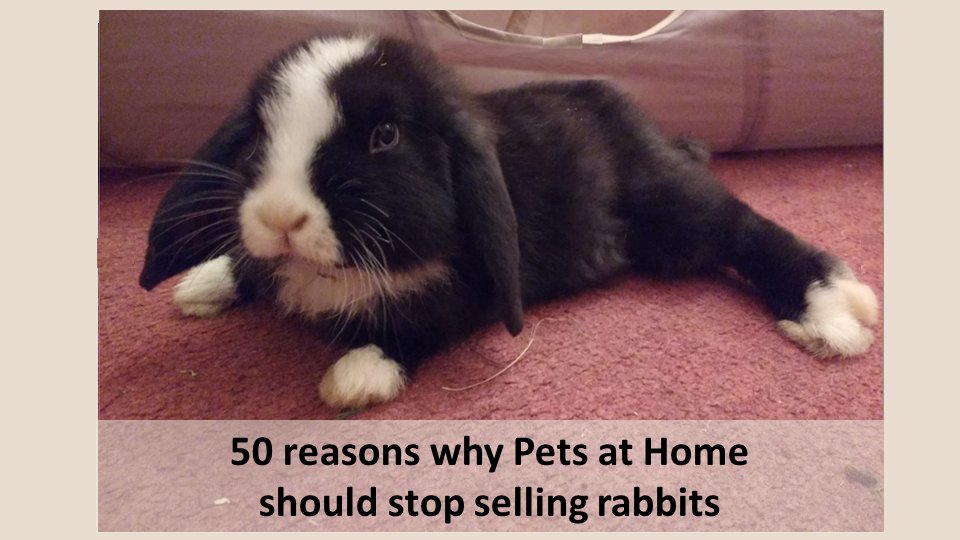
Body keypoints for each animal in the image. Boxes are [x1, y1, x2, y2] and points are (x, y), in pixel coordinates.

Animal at [139, 34, 878, 410]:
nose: (279, 215)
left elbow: (419, 323)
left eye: (384, 137)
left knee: (742, 226)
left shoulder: (472, 287)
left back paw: (831, 311)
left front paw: (357, 376)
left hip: (675, 215)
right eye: (259, 138)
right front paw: (205, 283)